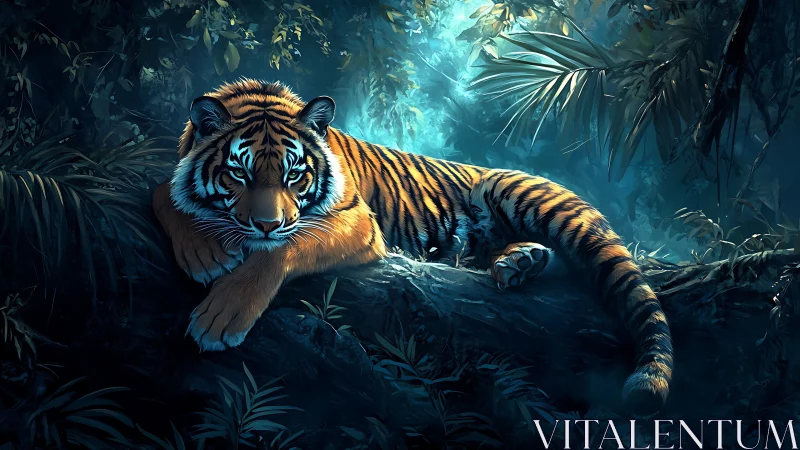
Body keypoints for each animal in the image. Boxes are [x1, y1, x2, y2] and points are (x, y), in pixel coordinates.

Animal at [152, 79, 674, 417]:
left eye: (295, 174)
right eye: (238, 173)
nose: (265, 223)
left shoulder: (356, 221)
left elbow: (280, 249)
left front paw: (220, 318)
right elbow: (163, 193)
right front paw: (205, 252)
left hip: (526, 198)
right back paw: (514, 262)